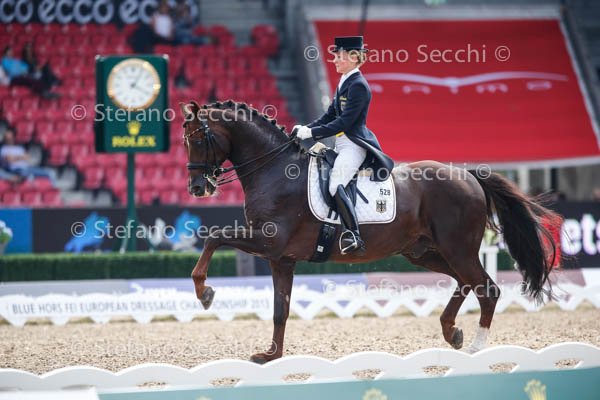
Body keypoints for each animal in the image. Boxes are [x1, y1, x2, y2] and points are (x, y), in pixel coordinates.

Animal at [180, 100, 559, 363]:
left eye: (198, 138)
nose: (198, 187)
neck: (274, 169)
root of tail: (468, 175)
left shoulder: (268, 241)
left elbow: (214, 236)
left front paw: (204, 293)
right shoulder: (280, 258)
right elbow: (279, 310)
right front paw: (271, 356)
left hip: (457, 249)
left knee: (486, 288)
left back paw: (476, 349)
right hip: (424, 253)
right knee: (465, 282)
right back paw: (452, 332)